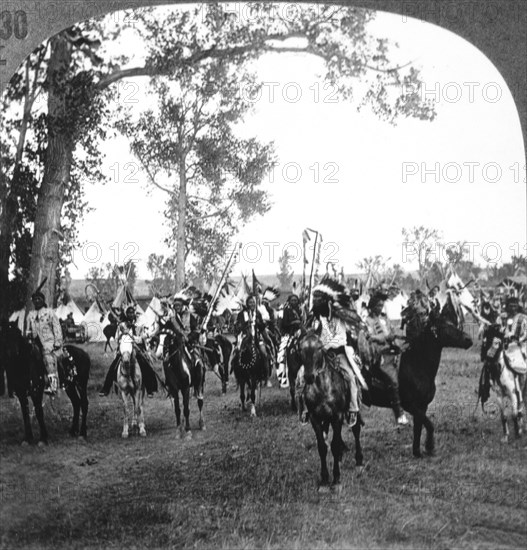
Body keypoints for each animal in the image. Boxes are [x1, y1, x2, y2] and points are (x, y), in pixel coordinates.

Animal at [300, 332, 366, 492]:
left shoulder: (337, 416)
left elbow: (334, 446)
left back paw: (359, 461)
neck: (323, 388)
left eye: (319, 347)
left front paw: (336, 480)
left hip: (353, 410)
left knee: (356, 430)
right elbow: (322, 447)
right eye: (300, 348)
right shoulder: (315, 419)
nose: (309, 377)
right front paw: (324, 480)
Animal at [360, 308, 472, 460]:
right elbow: (429, 425)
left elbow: (418, 428)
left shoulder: (422, 406)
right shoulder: (410, 406)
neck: (416, 366)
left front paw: (417, 452)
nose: (468, 339)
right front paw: (429, 447)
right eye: (444, 326)